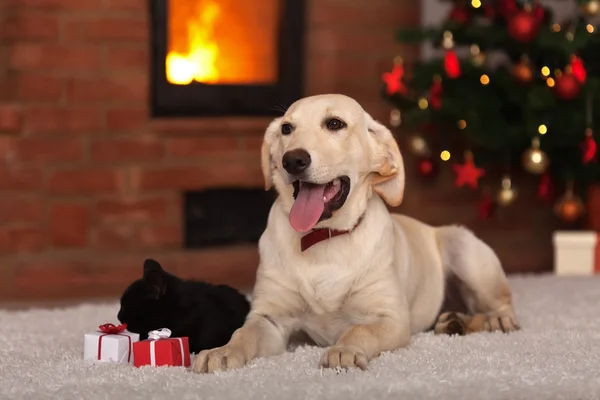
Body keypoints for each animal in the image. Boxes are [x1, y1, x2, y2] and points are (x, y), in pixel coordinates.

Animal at [193, 94, 520, 376]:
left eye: (335, 124)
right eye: (286, 128)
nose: (292, 160)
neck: (324, 237)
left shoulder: (391, 318)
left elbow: (359, 329)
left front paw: (344, 350)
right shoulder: (269, 319)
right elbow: (243, 332)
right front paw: (221, 351)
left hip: (462, 247)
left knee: (502, 303)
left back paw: (496, 319)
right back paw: (454, 322)